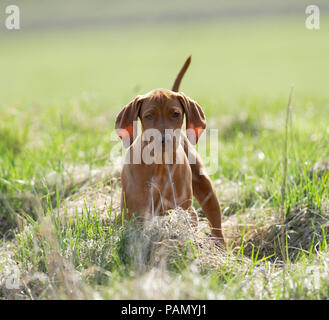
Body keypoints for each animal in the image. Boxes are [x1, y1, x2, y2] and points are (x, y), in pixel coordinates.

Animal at [114, 56, 224, 245]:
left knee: (215, 221)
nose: (165, 139)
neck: (160, 164)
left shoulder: (185, 210)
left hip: (205, 188)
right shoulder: (135, 213)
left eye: (176, 114)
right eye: (149, 116)